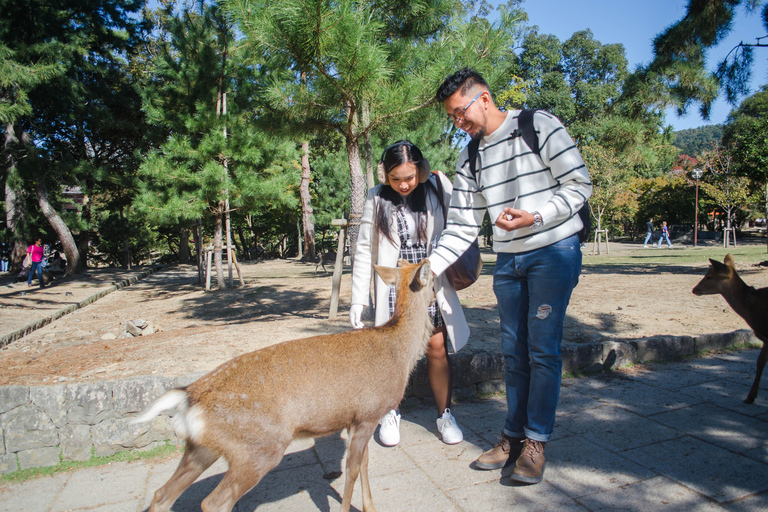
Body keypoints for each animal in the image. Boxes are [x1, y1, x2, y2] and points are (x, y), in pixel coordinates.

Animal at [130, 260, 436, 512]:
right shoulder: (368, 413)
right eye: (432, 278)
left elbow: (363, 465)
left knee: (161, 495)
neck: (399, 352)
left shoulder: (356, 419)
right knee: (213, 502)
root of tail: (189, 397)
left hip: (201, 447)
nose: (436, 296)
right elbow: (351, 470)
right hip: (259, 447)